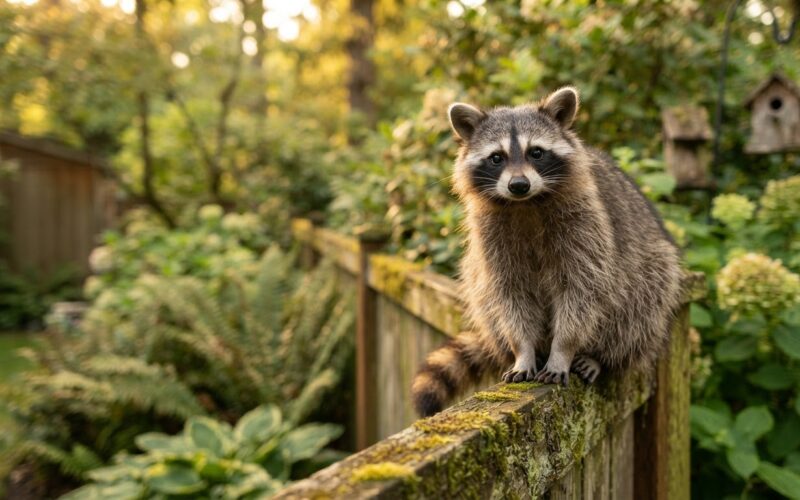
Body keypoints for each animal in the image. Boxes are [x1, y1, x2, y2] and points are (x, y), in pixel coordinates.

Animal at [411, 87, 683, 417]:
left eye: (536, 152)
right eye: (496, 158)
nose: (518, 185)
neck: (526, 203)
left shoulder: (586, 228)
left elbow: (581, 291)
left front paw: (562, 350)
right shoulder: (491, 237)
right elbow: (509, 295)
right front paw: (523, 350)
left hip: (651, 263)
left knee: (642, 302)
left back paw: (602, 357)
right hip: (478, 273)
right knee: (484, 295)